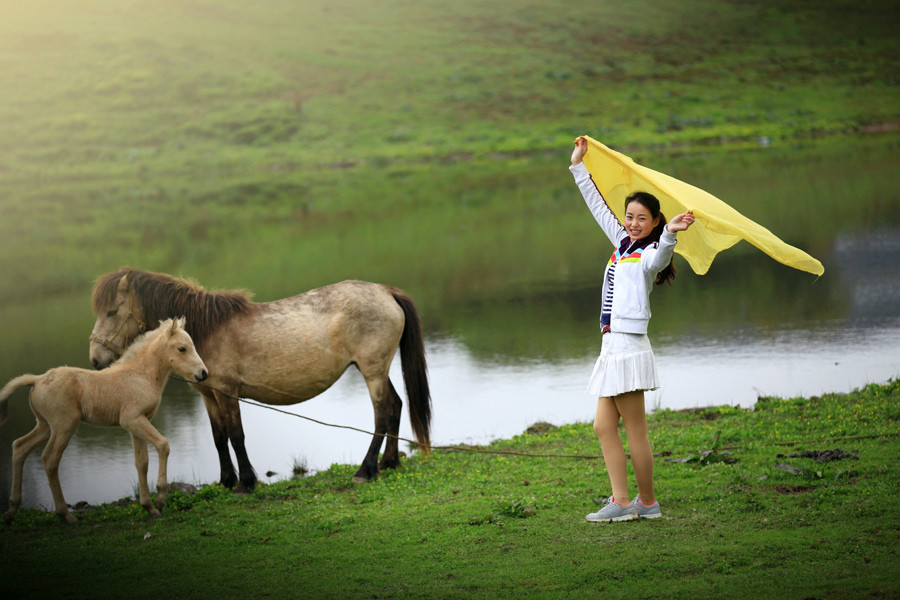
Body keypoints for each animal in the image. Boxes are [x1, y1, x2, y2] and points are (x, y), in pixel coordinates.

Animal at [0, 316, 207, 524]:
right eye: (182, 348)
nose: (203, 373)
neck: (141, 375)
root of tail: (37, 380)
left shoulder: (138, 423)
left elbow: (142, 462)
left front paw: (149, 507)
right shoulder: (132, 419)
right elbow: (163, 445)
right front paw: (160, 500)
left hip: (45, 426)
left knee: (20, 447)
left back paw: (11, 511)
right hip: (64, 425)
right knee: (50, 459)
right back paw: (66, 515)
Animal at [89, 268, 432, 492]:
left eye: (111, 311)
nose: (94, 358)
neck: (206, 329)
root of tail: (387, 292)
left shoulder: (227, 392)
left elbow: (236, 435)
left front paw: (245, 483)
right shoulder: (207, 394)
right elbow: (219, 437)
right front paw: (226, 481)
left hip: (372, 371)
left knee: (383, 412)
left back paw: (366, 470)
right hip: (376, 370)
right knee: (396, 406)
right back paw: (389, 463)